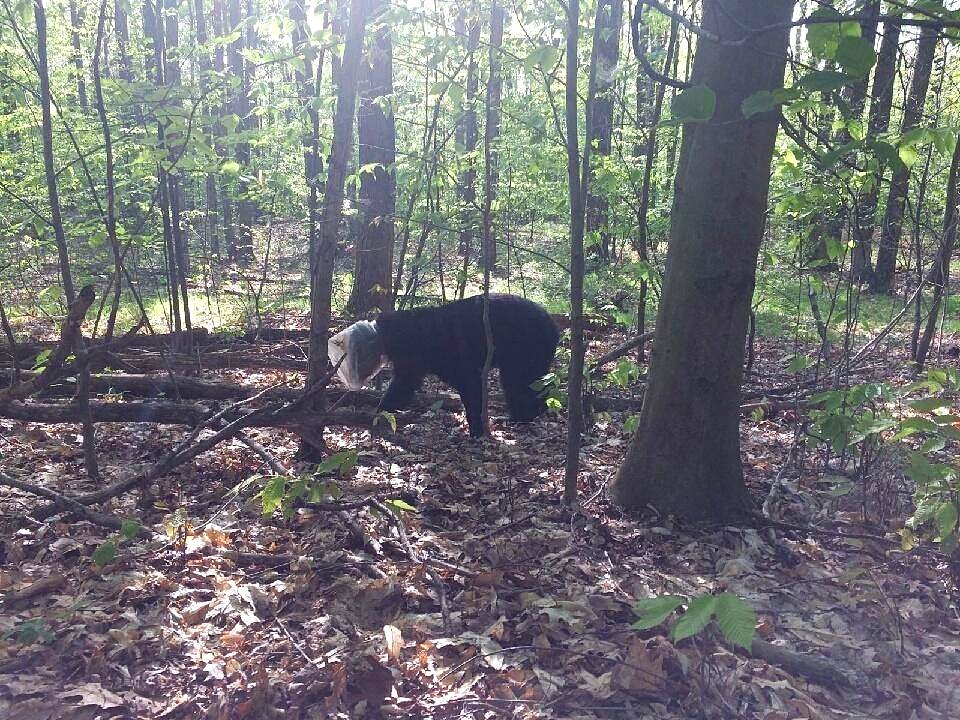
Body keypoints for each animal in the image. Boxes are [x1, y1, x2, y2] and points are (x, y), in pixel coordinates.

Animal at [369, 294, 560, 437]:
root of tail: (553, 324)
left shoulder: (453, 356)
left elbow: (471, 385)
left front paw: (477, 429)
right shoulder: (412, 364)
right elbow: (402, 387)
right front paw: (379, 414)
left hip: (527, 347)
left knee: (518, 382)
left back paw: (522, 416)